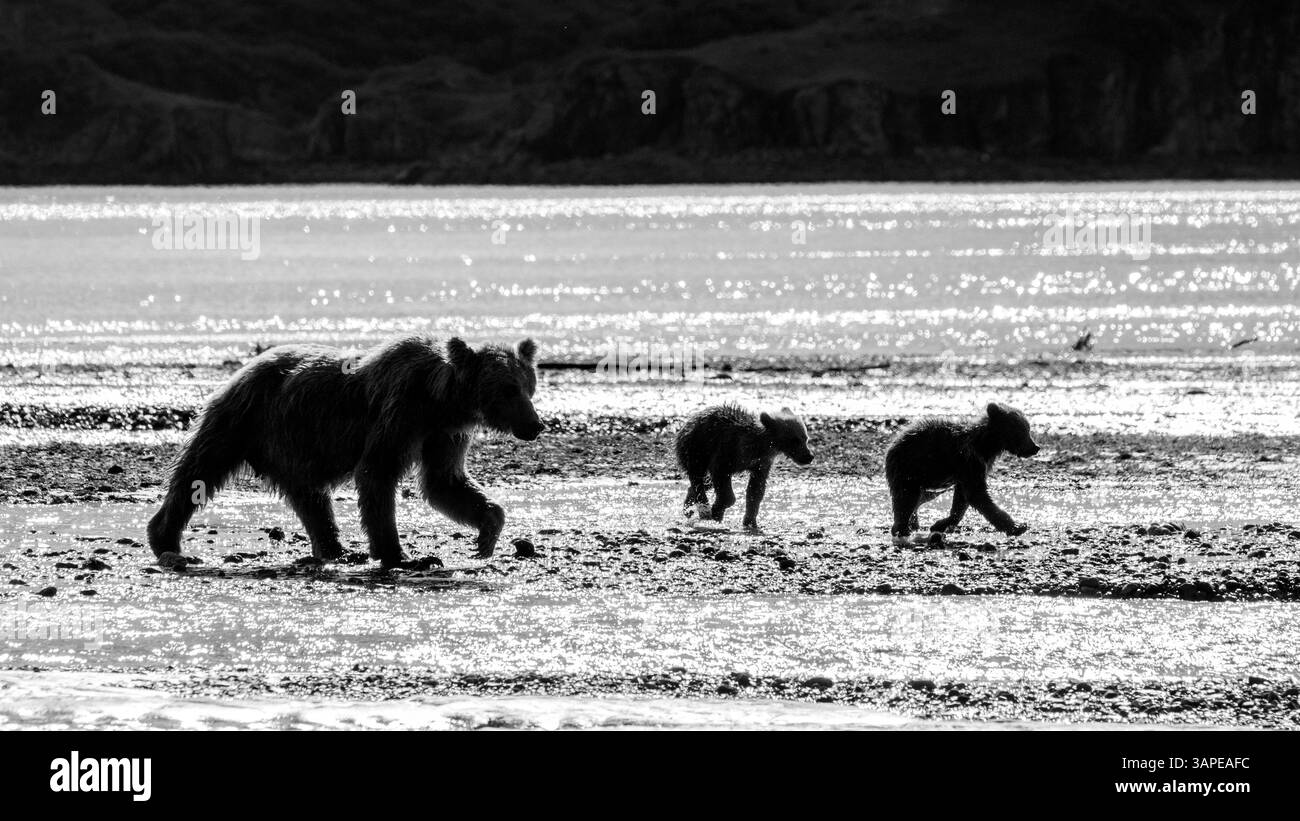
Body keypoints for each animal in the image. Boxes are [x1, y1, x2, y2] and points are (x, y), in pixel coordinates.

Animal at [146, 335, 544, 568]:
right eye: (508, 389)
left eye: (529, 386)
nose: (535, 425)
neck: (440, 402)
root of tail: (244, 369)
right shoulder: (400, 412)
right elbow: (377, 473)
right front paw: (400, 554)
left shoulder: (444, 434)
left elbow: (444, 482)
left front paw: (487, 533)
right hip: (242, 418)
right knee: (200, 471)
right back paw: (164, 536)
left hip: (293, 445)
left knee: (310, 498)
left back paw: (335, 549)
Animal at [675, 404, 814, 532]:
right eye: (794, 440)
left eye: (805, 438)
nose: (809, 456)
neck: (760, 445)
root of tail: (690, 420)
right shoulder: (728, 451)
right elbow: (722, 478)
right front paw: (717, 511)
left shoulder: (761, 463)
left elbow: (756, 490)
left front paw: (750, 522)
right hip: (697, 448)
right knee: (697, 476)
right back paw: (704, 509)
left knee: (705, 482)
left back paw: (688, 506)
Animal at [884, 401, 1039, 545]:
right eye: (1022, 430)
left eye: (1028, 428)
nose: (1035, 447)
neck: (986, 446)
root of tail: (895, 440)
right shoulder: (969, 460)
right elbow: (977, 495)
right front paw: (1017, 527)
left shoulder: (975, 467)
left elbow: (962, 499)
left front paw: (941, 524)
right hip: (909, 469)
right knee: (906, 498)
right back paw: (903, 529)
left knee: (919, 498)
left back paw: (913, 524)